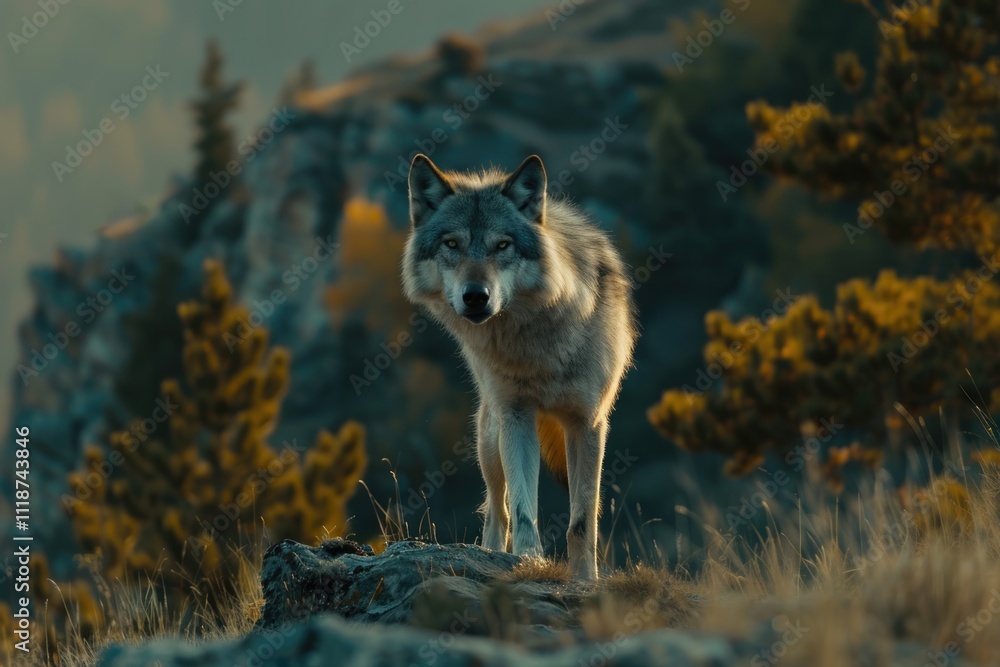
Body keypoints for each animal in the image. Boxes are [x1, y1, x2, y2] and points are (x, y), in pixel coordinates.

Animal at [401, 153, 637, 580]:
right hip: (490, 438)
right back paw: (491, 553)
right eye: (452, 244)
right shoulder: (516, 417)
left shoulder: (588, 422)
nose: (475, 296)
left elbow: (582, 521)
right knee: (498, 510)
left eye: (502, 245)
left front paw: (585, 579)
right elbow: (524, 509)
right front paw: (530, 561)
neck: (538, 346)